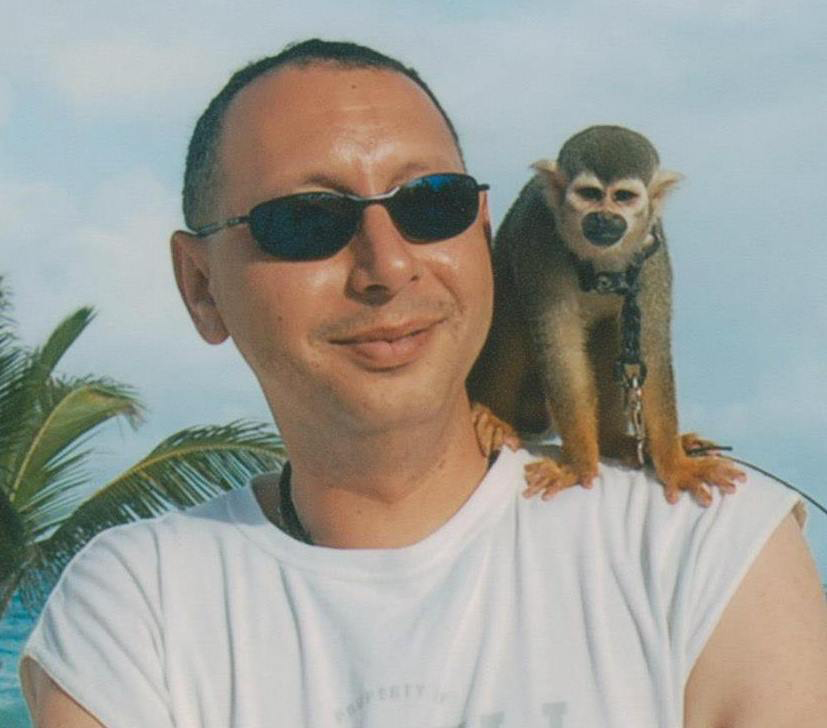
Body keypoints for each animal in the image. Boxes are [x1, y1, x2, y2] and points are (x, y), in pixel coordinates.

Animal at [468, 125, 744, 506]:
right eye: (590, 194)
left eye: (624, 197)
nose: (604, 218)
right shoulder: (540, 242)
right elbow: (561, 353)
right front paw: (580, 465)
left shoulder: (651, 254)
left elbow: (650, 355)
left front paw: (675, 464)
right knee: (512, 321)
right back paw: (497, 419)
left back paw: (613, 441)